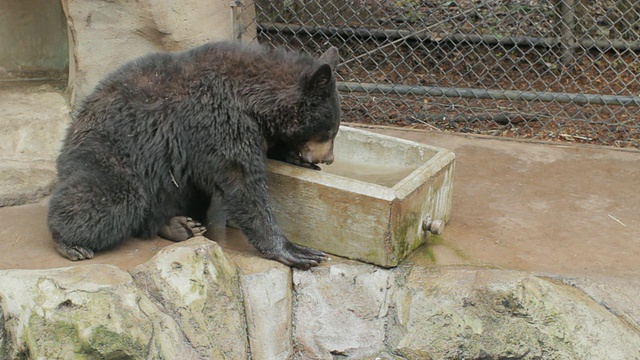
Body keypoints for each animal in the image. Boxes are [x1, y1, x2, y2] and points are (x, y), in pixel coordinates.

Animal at [48, 40, 340, 268]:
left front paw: (297, 158)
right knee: (111, 197)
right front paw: (296, 251)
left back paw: (180, 226)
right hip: (109, 154)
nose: (329, 159)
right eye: (330, 131)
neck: (254, 97)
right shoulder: (217, 120)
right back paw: (69, 241)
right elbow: (242, 181)